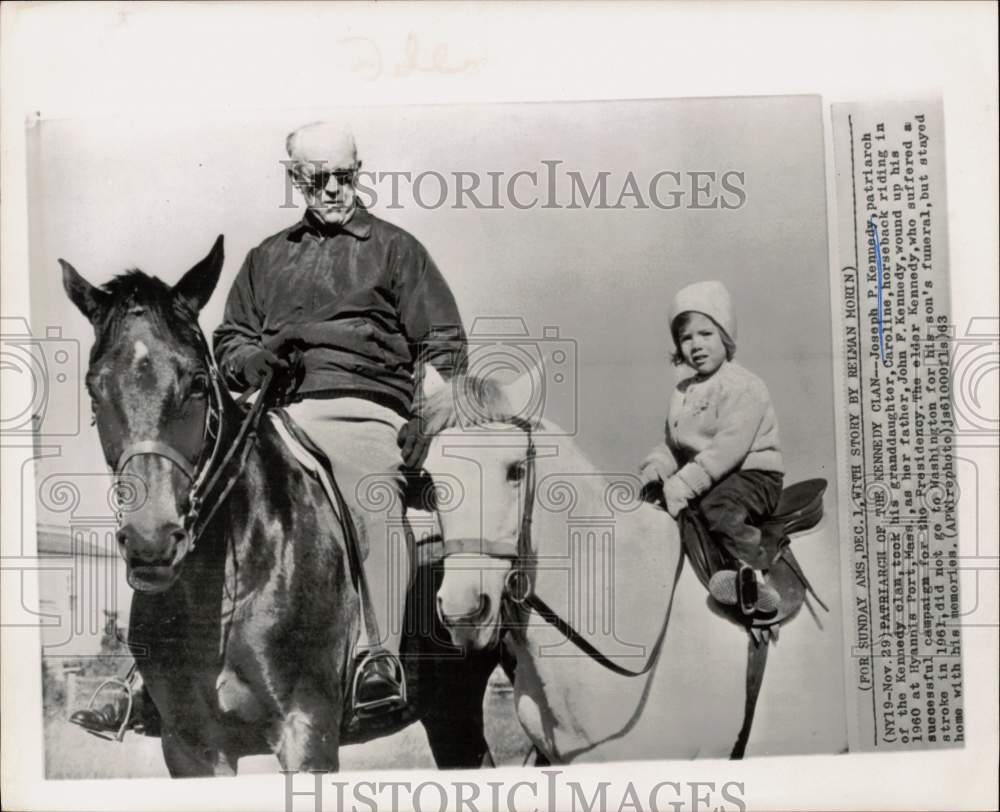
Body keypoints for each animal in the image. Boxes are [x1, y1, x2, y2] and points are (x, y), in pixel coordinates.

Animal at [60, 235, 500, 772]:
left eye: (197, 383)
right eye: (95, 388)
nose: (152, 541)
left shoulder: (306, 731)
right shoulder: (190, 748)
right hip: (449, 709)